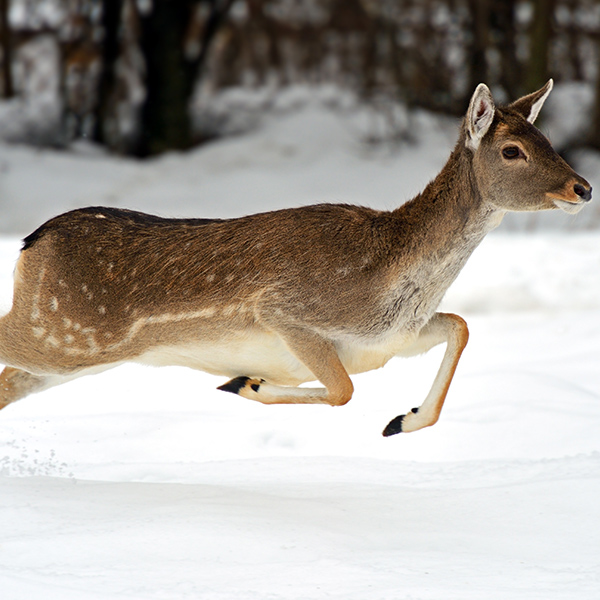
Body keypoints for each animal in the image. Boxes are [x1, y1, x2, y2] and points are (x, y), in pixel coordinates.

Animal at [0, 81, 592, 436]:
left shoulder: (392, 340)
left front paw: (400, 420)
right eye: (512, 150)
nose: (583, 188)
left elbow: (461, 325)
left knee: (8, 384)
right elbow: (344, 390)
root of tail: (33, 242)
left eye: (547, 137)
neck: (391, 282)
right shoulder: (286, 311)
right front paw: (246, 383)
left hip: (70, 352)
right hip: (66, 332)